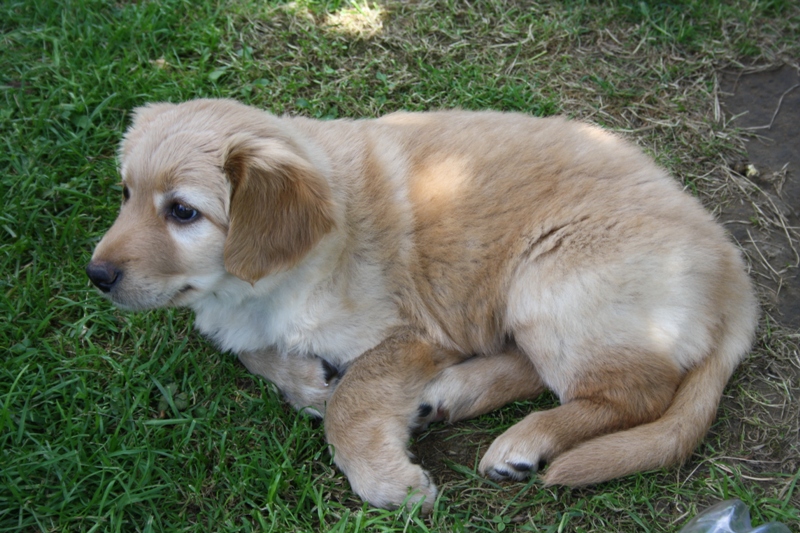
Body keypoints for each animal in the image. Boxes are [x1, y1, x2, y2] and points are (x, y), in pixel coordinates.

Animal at [87, 99, 758, 512]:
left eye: (182, 211)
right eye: (125, 194)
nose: (97, 275)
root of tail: (736, 278)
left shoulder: (416, 335)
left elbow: (352, 399)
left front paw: (386, 480)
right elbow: (250, 349)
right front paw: (305, 378)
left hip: (550, 274)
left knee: (635, 394)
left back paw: (525, 440)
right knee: (539, 368)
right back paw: (448, 396)